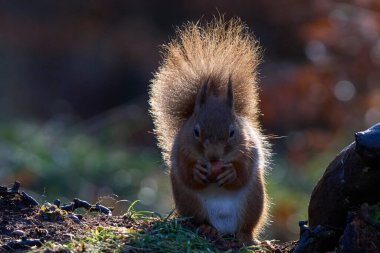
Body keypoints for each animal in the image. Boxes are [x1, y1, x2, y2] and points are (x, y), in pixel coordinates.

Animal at [149, 17, 270, 243]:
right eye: (196, 131)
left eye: (232, 132)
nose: (214, 157)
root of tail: (225, 229)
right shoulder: (181, 150)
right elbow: (186, 171)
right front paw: (197, 171)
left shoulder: (248, 148)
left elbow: (244, 171)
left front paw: (231, 173)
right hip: (190, 204)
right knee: (200, 220)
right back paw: (208, 229)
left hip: (254, 202)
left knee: (247, 227)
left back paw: (249, 238)